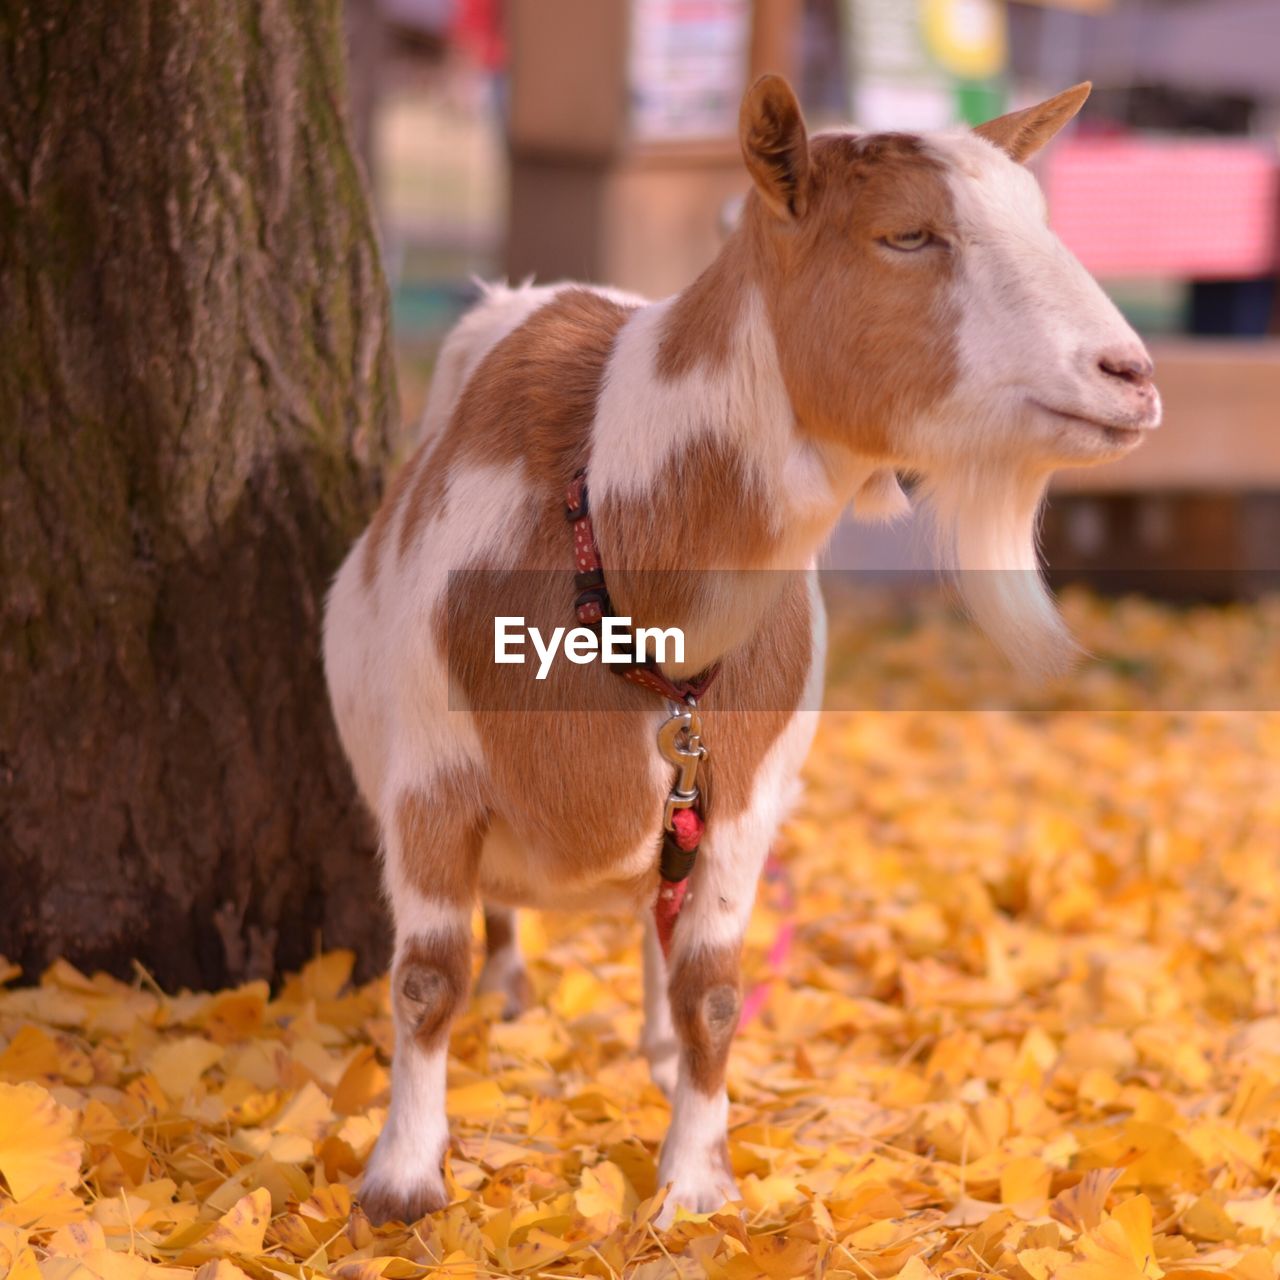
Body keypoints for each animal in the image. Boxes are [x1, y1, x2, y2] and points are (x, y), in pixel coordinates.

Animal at [322, 74, 1162, 1223]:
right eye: (908, 234)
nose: (1130, 373)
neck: (621, 560)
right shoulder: (427, 779)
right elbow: (423, 977)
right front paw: (402, 1181)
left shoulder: (742, 796)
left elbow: (714, 990)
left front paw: (691, 1182)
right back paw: (514, 990)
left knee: (657, 922)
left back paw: (652, 1049)